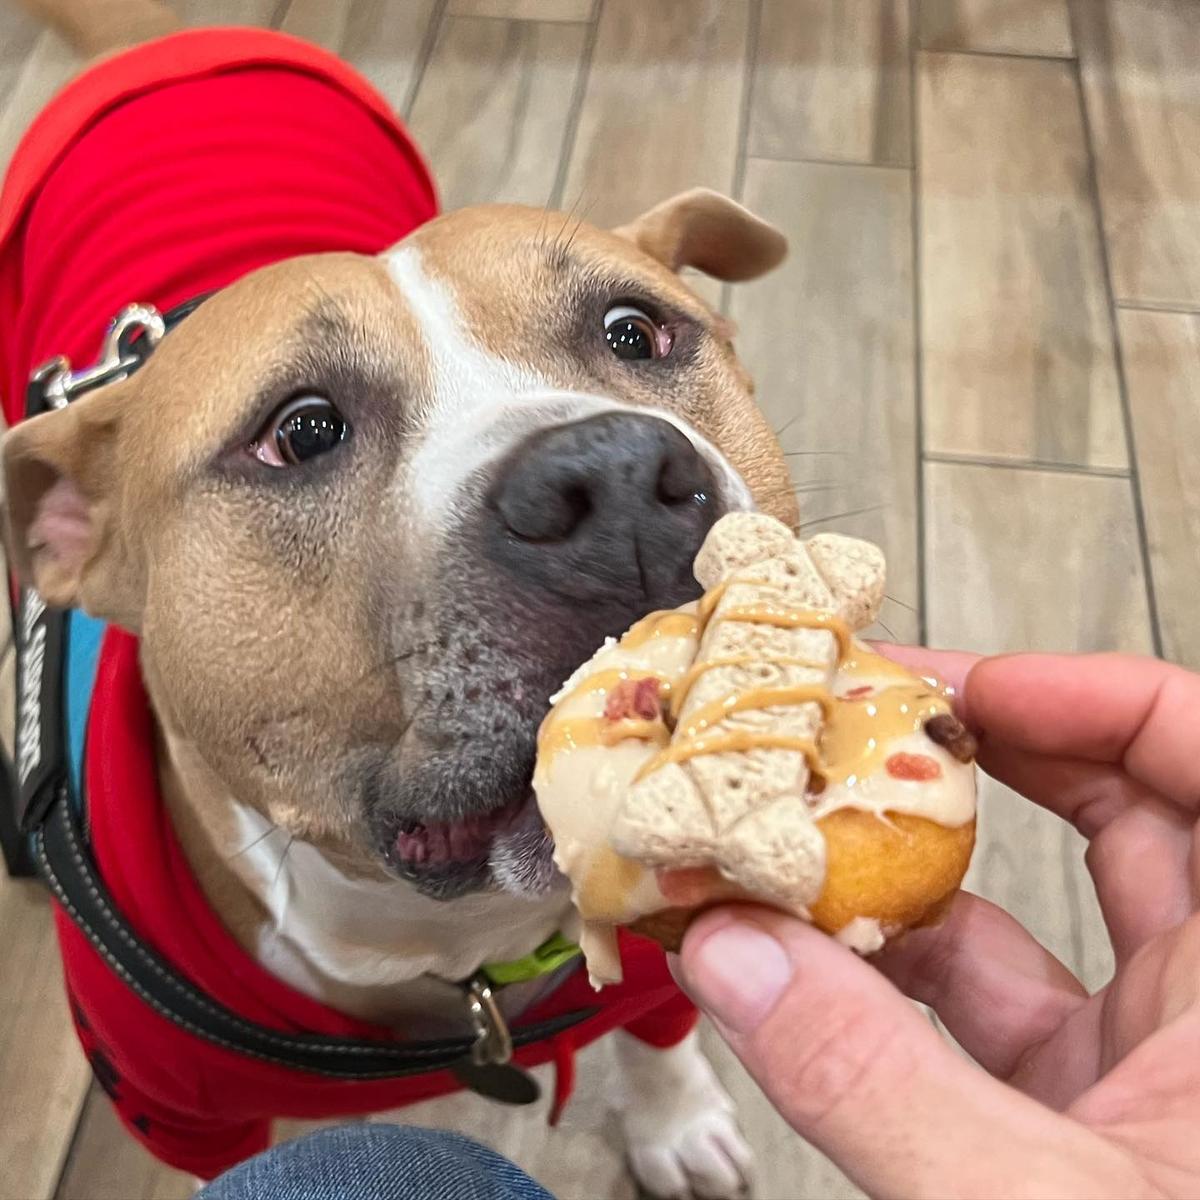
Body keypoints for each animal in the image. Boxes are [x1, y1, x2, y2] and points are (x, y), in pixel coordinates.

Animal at [2, 4, 796, 1195]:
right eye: (302, 431)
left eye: (635, 332)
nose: (612, 481)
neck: (457, 949)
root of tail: (176, 39)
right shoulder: (174, 1106)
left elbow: (656, 1033)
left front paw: (676, 1121)